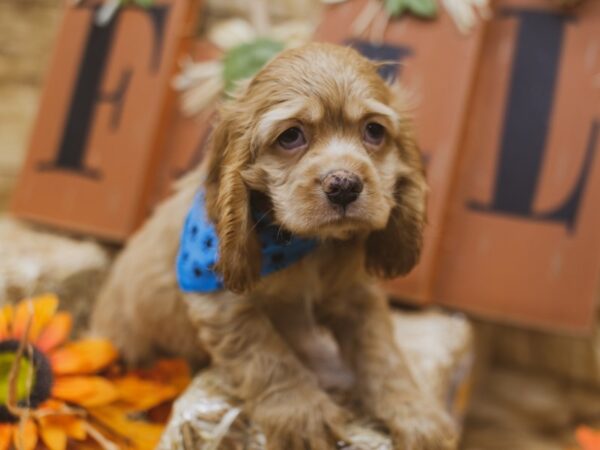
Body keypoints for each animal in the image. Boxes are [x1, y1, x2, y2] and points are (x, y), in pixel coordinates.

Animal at [90, 43, 454, 450]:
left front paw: (415, 413)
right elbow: (267, 355)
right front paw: (304, 414)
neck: (306, 244)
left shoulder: (357, 295)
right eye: (291, 137)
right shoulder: (221, 302)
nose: (344, 185)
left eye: (374, 131)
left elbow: (381, 353)